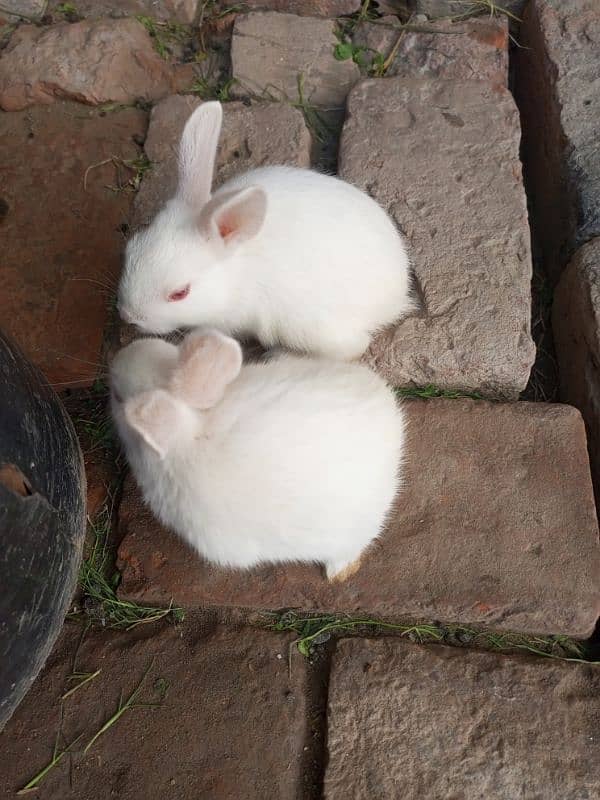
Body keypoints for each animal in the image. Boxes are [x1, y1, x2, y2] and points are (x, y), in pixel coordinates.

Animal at [119, 100, 414, 360]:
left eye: (180, 293)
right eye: (131, 248)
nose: (128, 316)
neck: (234, 274)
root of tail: (396, 293)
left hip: (305, 326)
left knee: (353, 348)